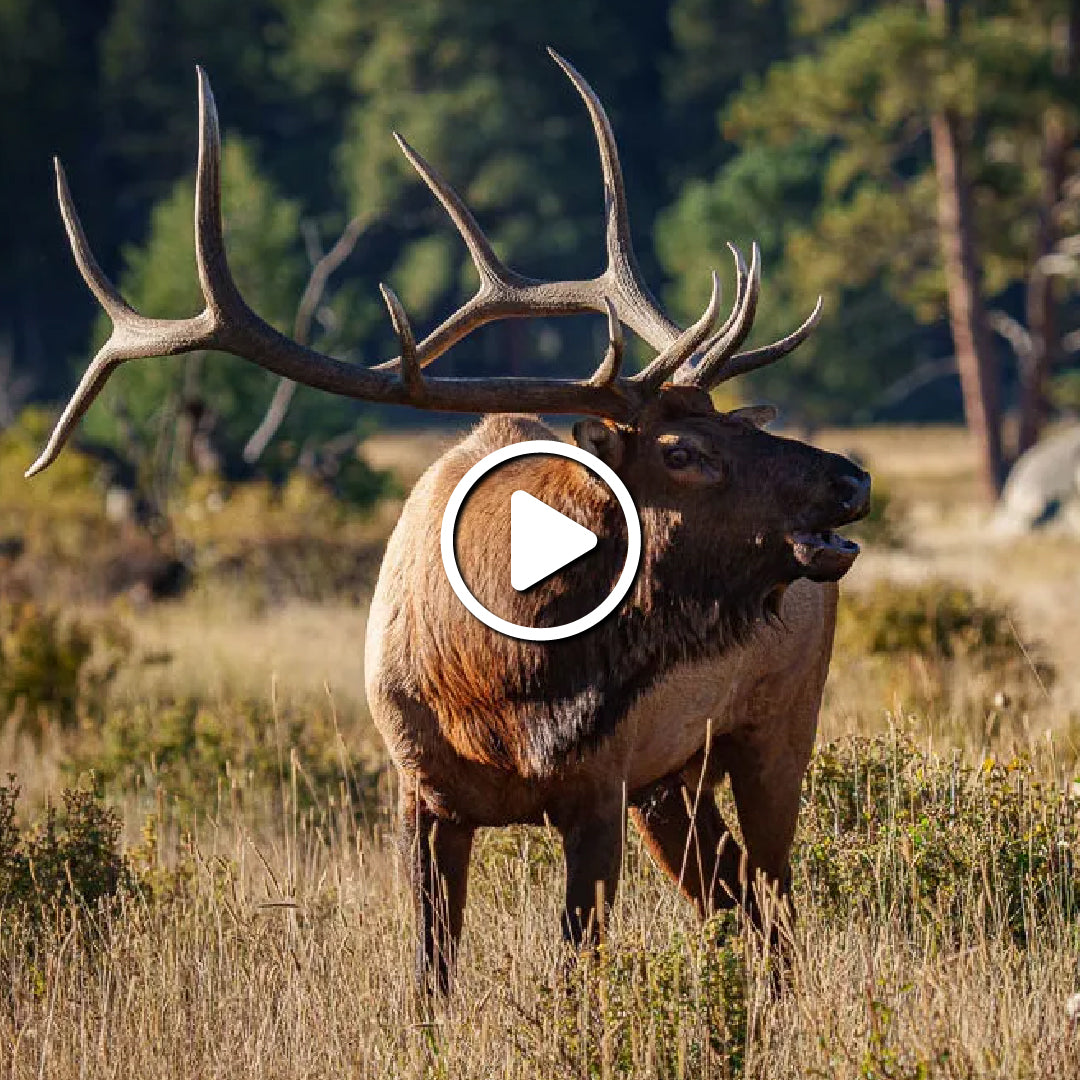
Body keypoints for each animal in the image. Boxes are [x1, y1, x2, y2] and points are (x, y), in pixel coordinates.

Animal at [31, 54, 868, 989]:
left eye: (734, 423)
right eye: (684, 450)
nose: (850, 477)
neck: (504, 684)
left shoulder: (599, 788)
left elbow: (578, 970)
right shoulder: (420, 790)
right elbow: (432, 974)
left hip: (775, 730)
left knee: (773, 903)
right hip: (675, 781)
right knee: (743, 903)